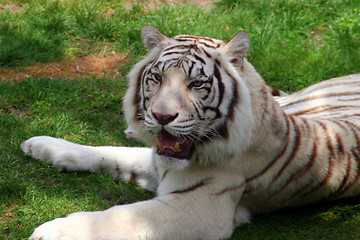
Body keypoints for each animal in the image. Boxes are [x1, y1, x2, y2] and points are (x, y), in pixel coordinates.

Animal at [21, 25, 360, 239]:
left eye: (196, 84)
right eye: (157, 78)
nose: (160, 116)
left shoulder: (199, 206)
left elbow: (120, 215)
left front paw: (54, 231)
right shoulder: (158, 162)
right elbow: (108, 153)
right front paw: (41, 145)